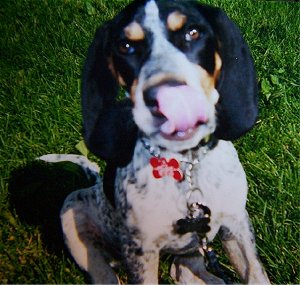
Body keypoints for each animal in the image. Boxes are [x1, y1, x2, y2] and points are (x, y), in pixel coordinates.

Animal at [55, 1, 270, 282]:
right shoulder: (140, 251)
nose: (167, 98)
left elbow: (256, 274)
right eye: (125, 46)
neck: (187, 166)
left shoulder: (237, 225)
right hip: (71, 211)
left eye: (193, 33)